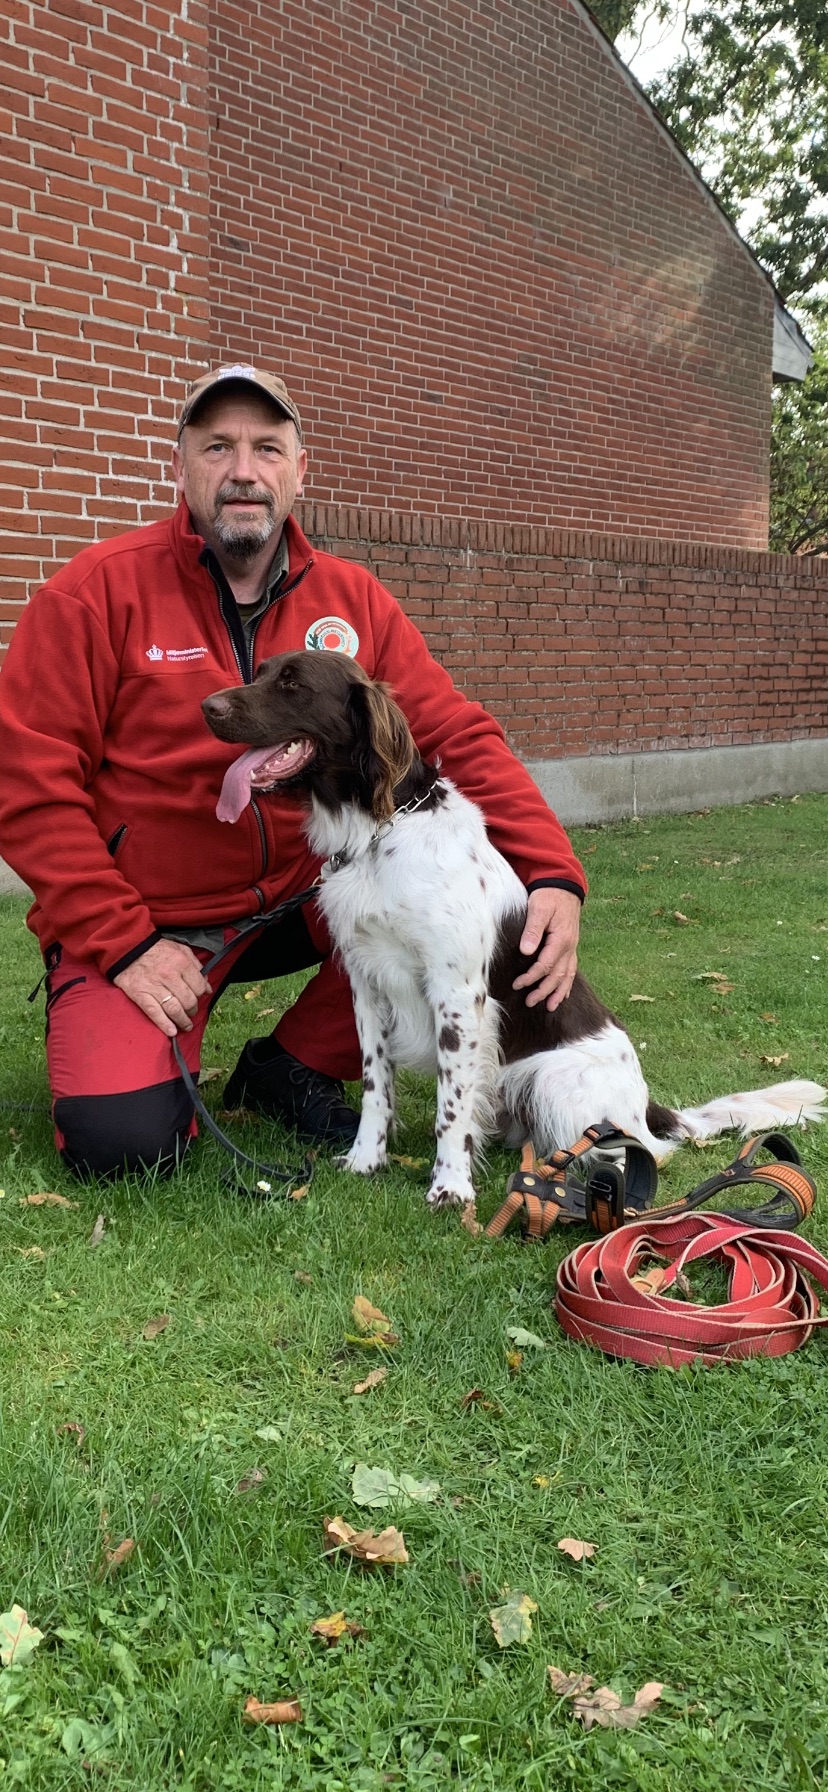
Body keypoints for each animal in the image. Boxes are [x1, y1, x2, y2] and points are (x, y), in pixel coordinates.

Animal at [202, 652, 828, 1211]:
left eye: (292, 682)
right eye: (262, 673)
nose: (207, 706)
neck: (380, 832)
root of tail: (649, 1105)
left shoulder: (457, 996)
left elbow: (450, 1108)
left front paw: (450, 1188)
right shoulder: (367, 984)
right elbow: (376, 1086)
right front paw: (366, 1160)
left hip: (554, 1078)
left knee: (641, 1150)